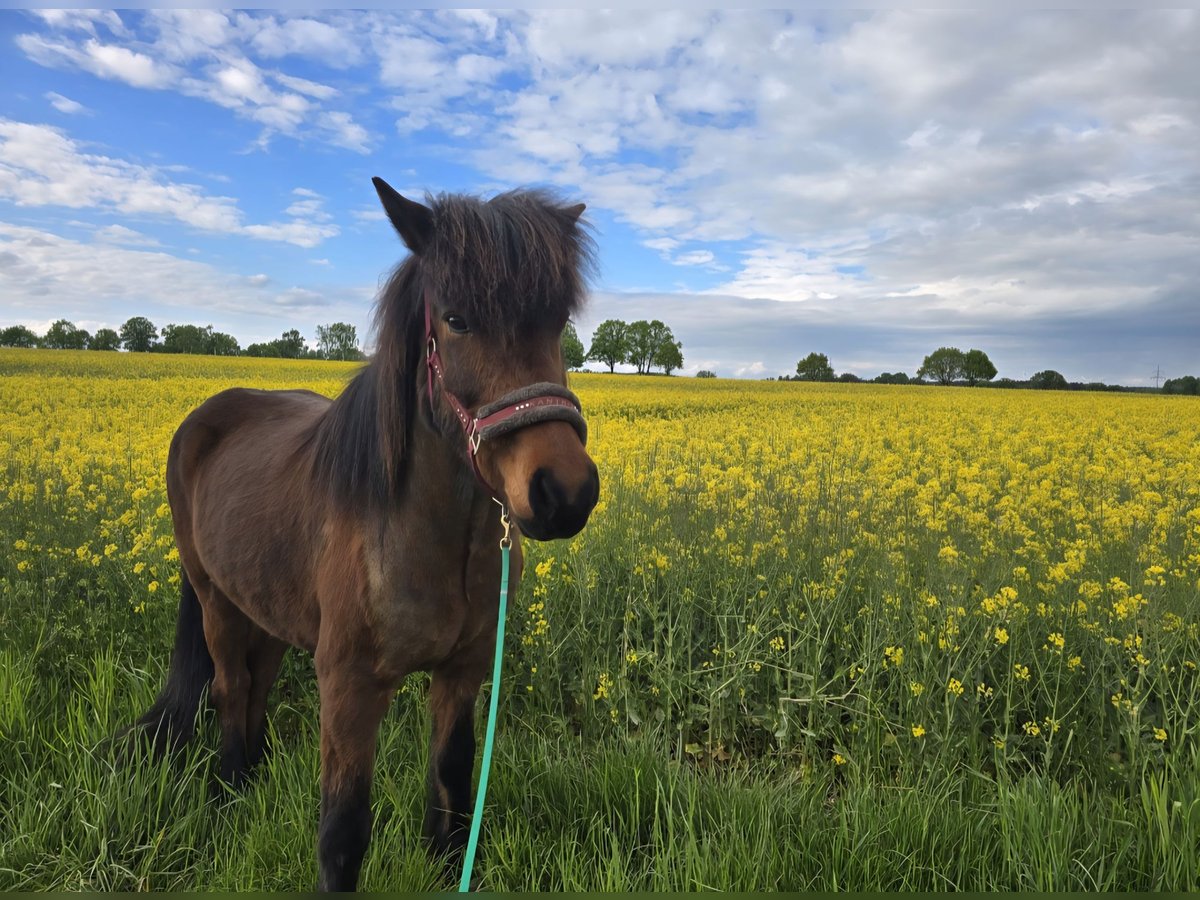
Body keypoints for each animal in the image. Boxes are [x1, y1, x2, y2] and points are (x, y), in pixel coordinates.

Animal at [120, 177, 600, 891]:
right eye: (455, 318)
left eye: (558, 319)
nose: (563, 492)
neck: (423, 540)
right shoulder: (348, 689)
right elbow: (342, 835)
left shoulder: (462, 673)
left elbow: (453, 793)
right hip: (216, 602)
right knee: (231, 689)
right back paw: (228, 796)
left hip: (268, 612)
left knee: (255, 688)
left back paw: (250, 783)